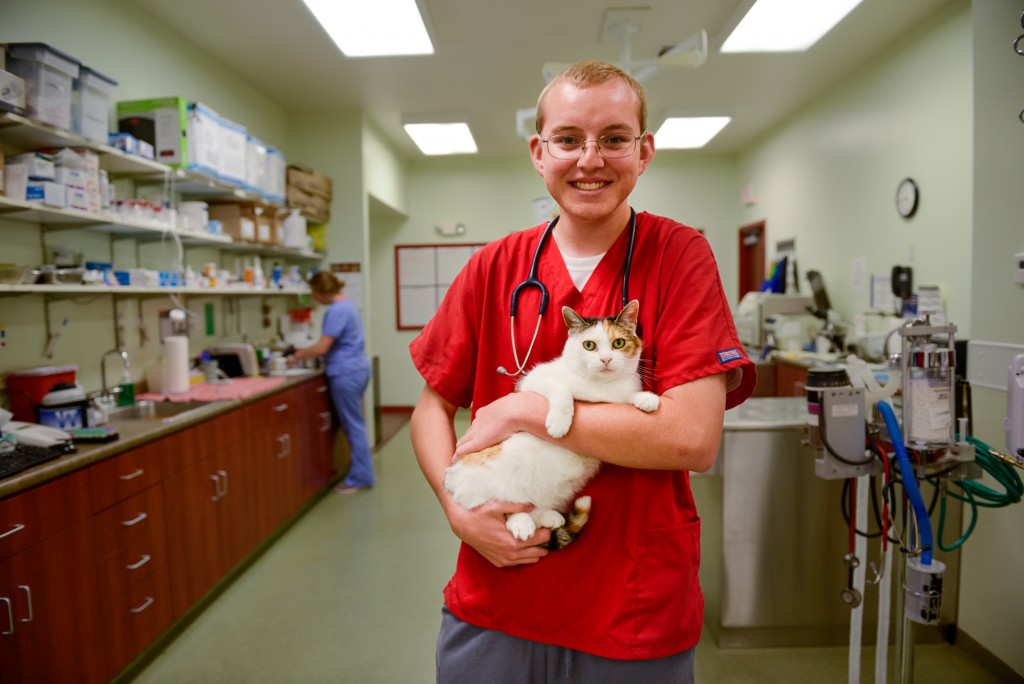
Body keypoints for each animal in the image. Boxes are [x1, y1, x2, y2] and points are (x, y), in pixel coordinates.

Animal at [444, 298, 659, 548]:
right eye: (589, 345)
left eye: (618, 343)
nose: (605, 359)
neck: (601, 388)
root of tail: (452, 480)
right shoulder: (534, 380)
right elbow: (561, 389)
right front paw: (559, 422)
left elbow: (626, 398)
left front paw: (645, 399)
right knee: (503, 504)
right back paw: (521, 523)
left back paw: (548, 517)